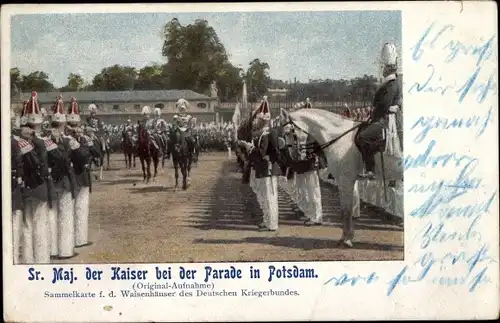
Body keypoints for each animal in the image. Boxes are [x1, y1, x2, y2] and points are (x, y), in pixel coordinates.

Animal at [284, 107, 404, 247]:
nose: (292, 158)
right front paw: (345, 237)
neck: (338, 137)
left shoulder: (346, 180)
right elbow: (344, 209)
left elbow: (347, 210)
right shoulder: (342, 181)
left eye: (288, 132)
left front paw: (347, 239)